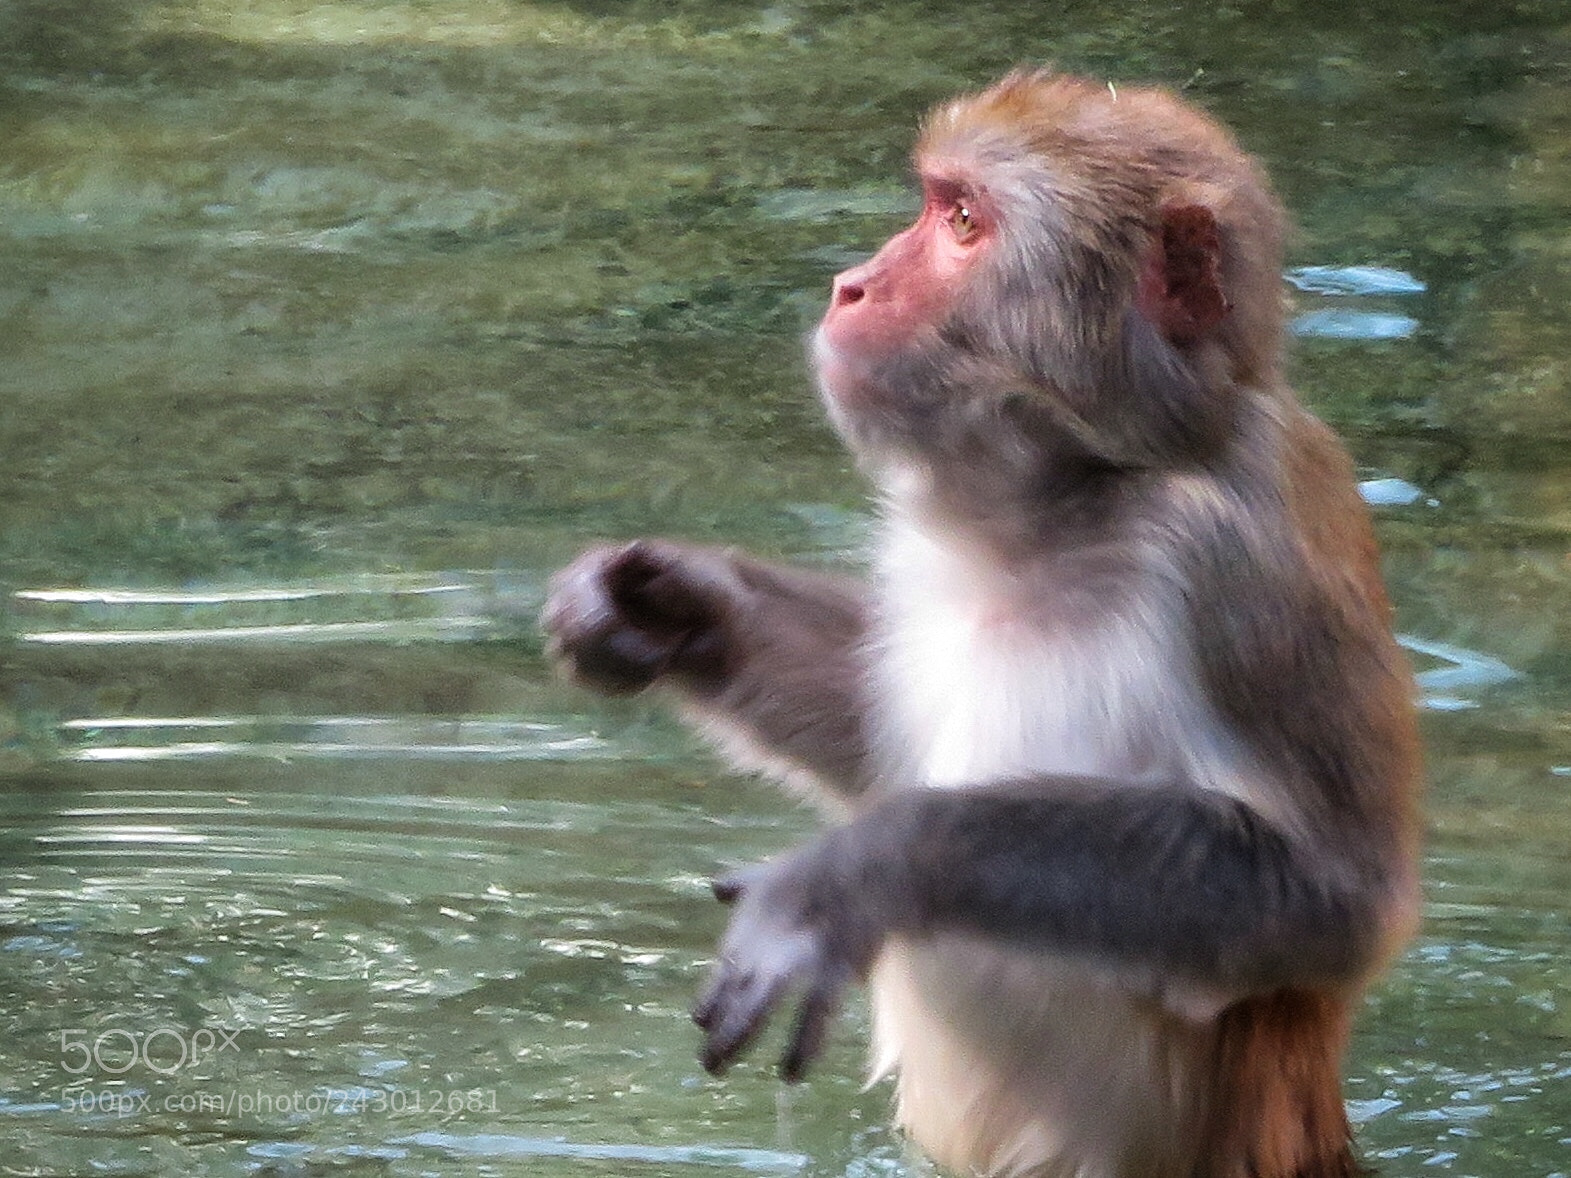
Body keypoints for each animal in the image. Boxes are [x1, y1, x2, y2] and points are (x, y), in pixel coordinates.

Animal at [542, 71, 1421, 1178]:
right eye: (933, 203)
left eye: (962, 224)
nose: (850, 285)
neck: (1078, 497)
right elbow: (867, 733)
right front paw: (678, 611)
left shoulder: (1243, 562)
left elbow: (1332, 900)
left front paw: (862, 871)